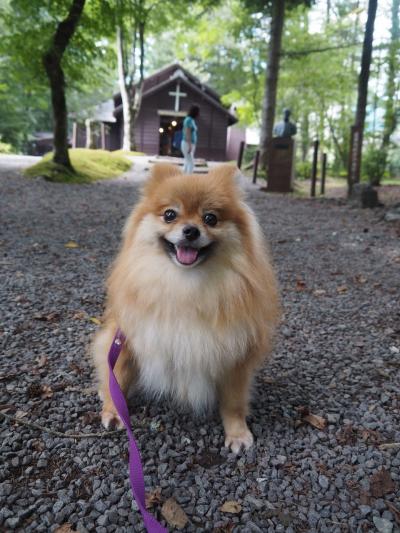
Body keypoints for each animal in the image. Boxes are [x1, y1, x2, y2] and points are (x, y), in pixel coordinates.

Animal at [93, 164, 282, 450]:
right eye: (170, 215)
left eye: (211, 218)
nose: (191, 230)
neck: (184, 285)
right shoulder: (127, 341)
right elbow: (118, 379)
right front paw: (115, 411)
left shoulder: (235, 354)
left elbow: (234, 403)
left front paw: (237, 433)